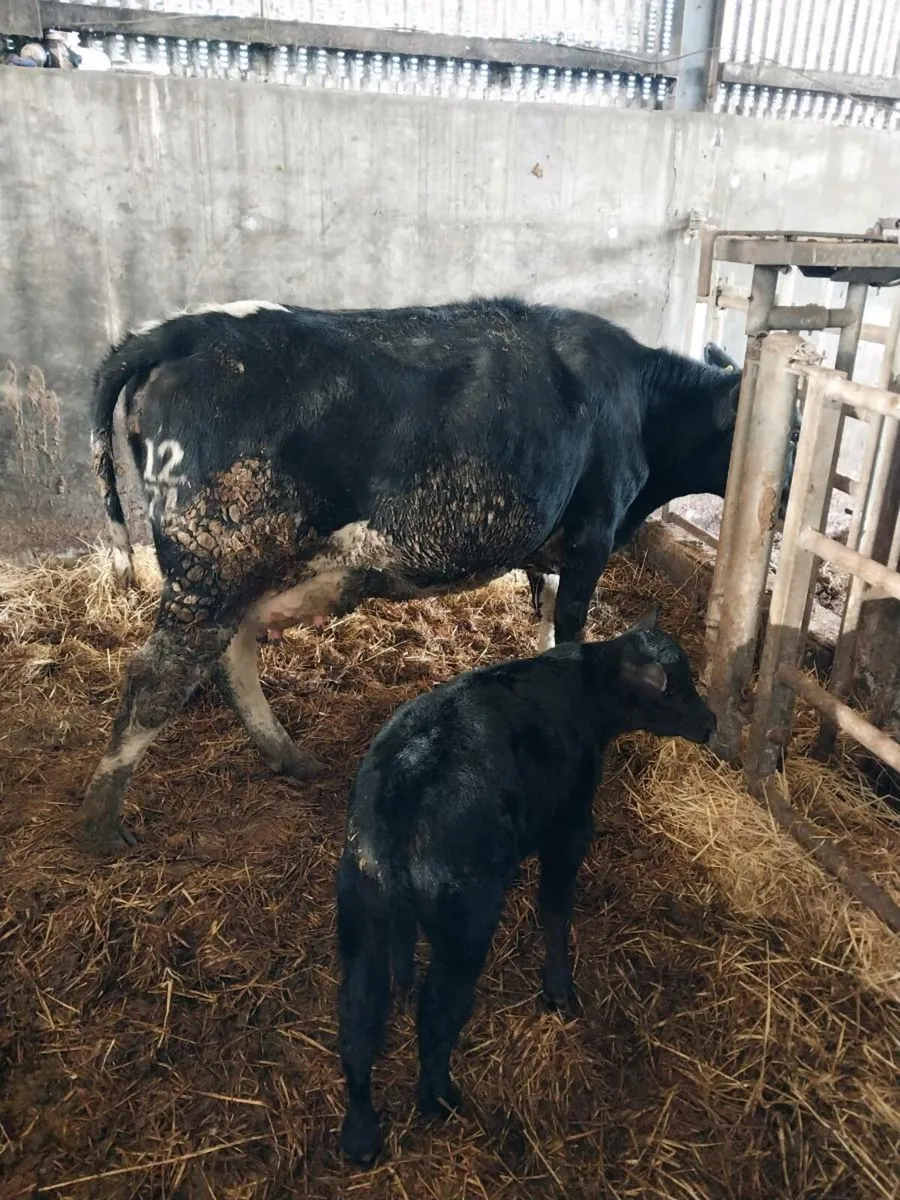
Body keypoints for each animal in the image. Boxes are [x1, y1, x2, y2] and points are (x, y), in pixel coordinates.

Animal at [80, 298, 781, 855]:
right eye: (785, 430)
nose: (778, 507)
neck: (638, 400)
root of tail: (182, 330)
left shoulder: (555, 550)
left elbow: (546, 630)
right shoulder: (594, 534)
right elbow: (572, 633)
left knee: (230, 657)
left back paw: (288, 757)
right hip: (218, 561)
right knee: (158, 679)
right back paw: (102, 823)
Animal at [336, 607, 716, 1165]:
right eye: (673, 692)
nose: (711, 723)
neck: (584, 687)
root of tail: (403, 785)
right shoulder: (571, 825)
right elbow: (555, 910)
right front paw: (559, 989)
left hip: (362, 916)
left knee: (359, 1021)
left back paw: (362, 1135)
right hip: (465, 922)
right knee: (435, 1010)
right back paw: (440, 1099)